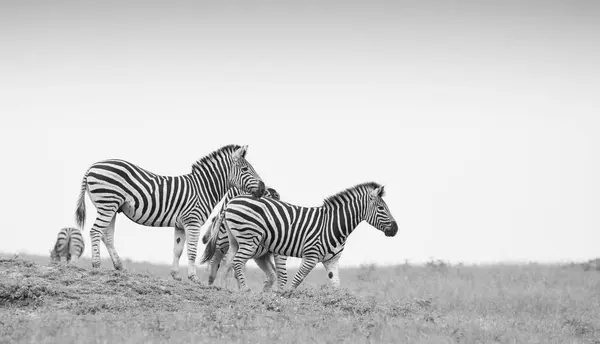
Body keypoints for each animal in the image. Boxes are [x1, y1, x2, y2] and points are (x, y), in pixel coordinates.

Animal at [74, 143, 266, 282]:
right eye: (245, 170)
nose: (263, 188)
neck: (202, 189)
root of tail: (92, 167)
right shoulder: (193, 222)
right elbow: (191, 251)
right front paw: (193, 277)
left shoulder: (180, 225)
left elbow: (177, 250)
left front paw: (175, 275)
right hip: (108, 203)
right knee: (95, 231)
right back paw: (96, 264)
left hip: (112, 207)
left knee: (107, 236)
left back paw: (119, 266)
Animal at [203, 181, 398, 292]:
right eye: (381, 208)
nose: (395, 229)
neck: (333, 224)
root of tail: (231, 202)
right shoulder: (311, 256)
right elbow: (296, 280)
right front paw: (285, 298)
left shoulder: (332, 261)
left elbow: (336, 285)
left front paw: (338, 307)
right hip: (249, 240)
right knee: (235, 262)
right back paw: (244, 290)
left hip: (236, 240)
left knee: (227, 263)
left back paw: (227, 291)